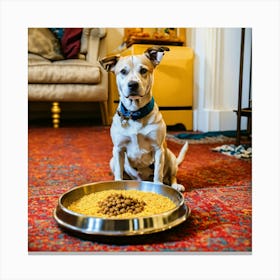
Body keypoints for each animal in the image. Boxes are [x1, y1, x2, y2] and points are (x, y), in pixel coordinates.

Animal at [99, 46, 189, 192]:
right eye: (123, 71)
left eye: (143, 70)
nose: (133, 84)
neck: (135, 114)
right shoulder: (118, 149)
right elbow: (118, 173)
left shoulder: (158, 149)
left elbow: (158, 173)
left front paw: (158, 188)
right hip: (112, 160)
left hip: (169, 156)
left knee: (171, 176)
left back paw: (175, 185)